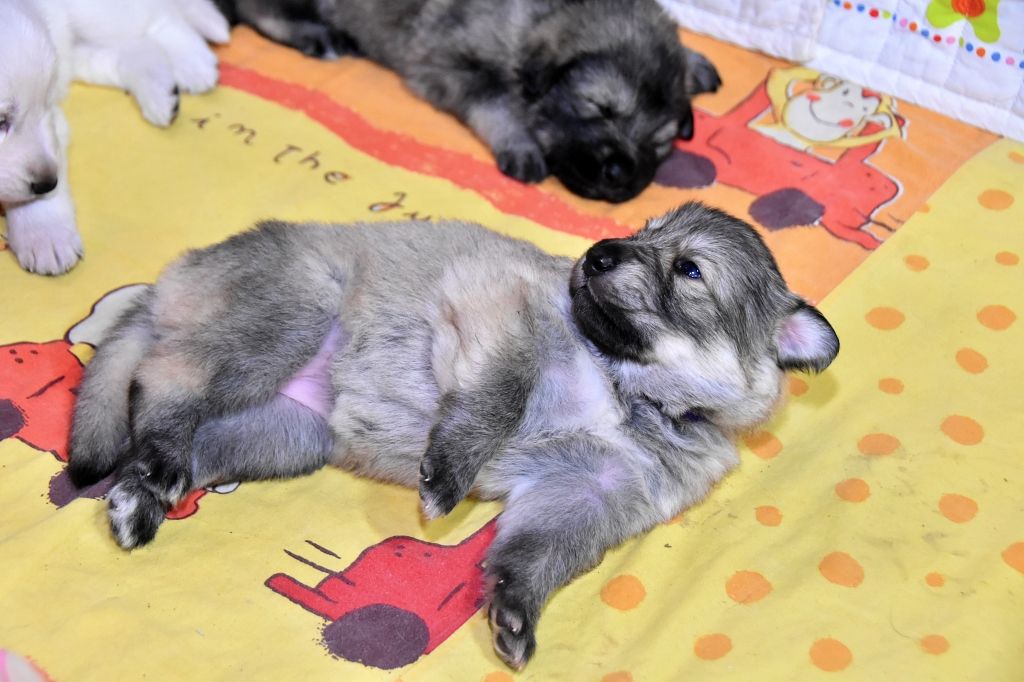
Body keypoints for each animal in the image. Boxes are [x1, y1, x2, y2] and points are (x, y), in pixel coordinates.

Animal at [0, 0, 228, 275]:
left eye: (44, 105)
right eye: (0, 122)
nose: (47, 183)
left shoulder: (52, 122)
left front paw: (45, 234)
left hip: (94, 16)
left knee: (158, 16)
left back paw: (192, 62)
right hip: (78, 49)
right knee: (132, 49)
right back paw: (160, 90)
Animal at [68, 202, 839, 668]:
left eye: (689, 269)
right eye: (644, 230)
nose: (595, 253)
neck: (631, 391)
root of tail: (162, 287)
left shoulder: (588, 494)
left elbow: (536, 554)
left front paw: (514, 610)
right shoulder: (508, 318)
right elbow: (498, 396)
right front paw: (450, 471)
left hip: (285, 431)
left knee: (182, 433)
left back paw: (140, 494)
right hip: (285, 317)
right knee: (164, 385)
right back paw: (156, 469)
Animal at [214, 0, 722, 203]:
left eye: (659, 143)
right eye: (597, 107)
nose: (620, 175)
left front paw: (695, 62)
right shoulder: (447, 66)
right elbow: (496, 103)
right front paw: (521, 145)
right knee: (258, 10)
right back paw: (314, 34)